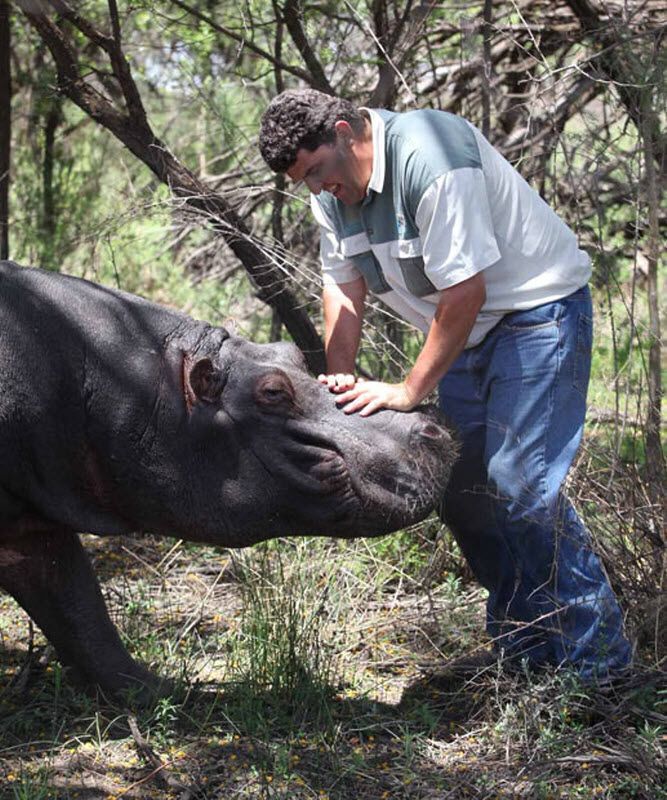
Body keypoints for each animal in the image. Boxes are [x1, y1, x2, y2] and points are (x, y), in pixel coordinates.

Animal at [0, 260, 456, 692]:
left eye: (289, 350)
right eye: (272, 392)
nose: (431, 424)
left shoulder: (32, 528)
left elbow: (80, 614)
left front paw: (164, 692)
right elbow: (78, 609)